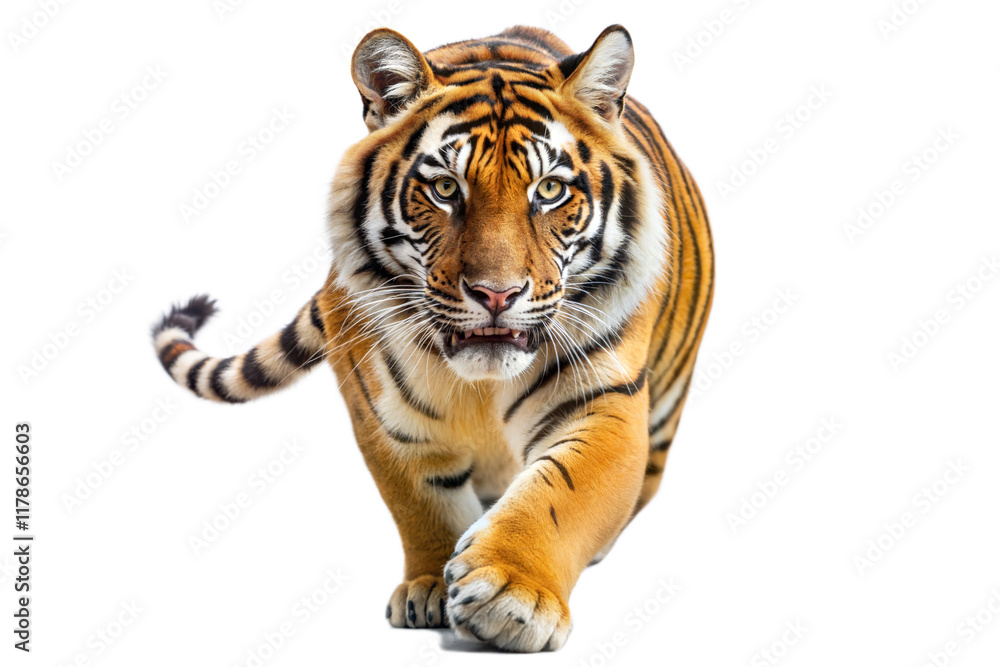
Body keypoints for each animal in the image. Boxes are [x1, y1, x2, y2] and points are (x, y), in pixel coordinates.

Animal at [151, 24, 713, 652]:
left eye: (549, 190)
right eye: (445, 188)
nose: (496, 294)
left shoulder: (602, 399)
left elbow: (564, 494)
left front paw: (511, 595)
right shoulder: (380, 412)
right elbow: (422, 502)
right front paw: (430, 588)